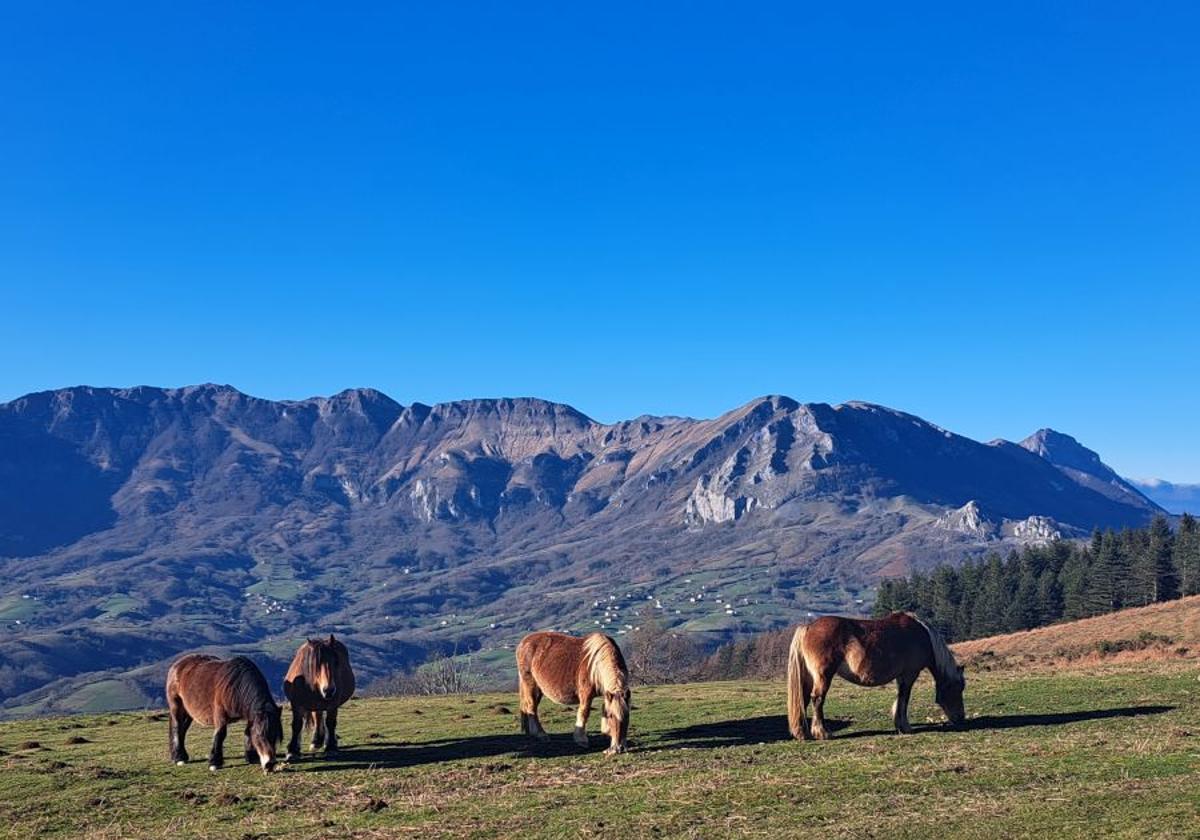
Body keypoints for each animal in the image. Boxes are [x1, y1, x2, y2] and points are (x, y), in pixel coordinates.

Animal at [787, 609, 964, 739]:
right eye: (957, 689)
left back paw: (803, 733)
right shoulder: (910, 674)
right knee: (817, 699)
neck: (922, 635)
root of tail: (808, 627)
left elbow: (900, 698)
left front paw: (900, 725)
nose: (961, 718)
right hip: (823, 676)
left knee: (803, 699)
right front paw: (906, 727)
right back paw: (822, 732)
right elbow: (905, 698)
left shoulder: (901, 676)